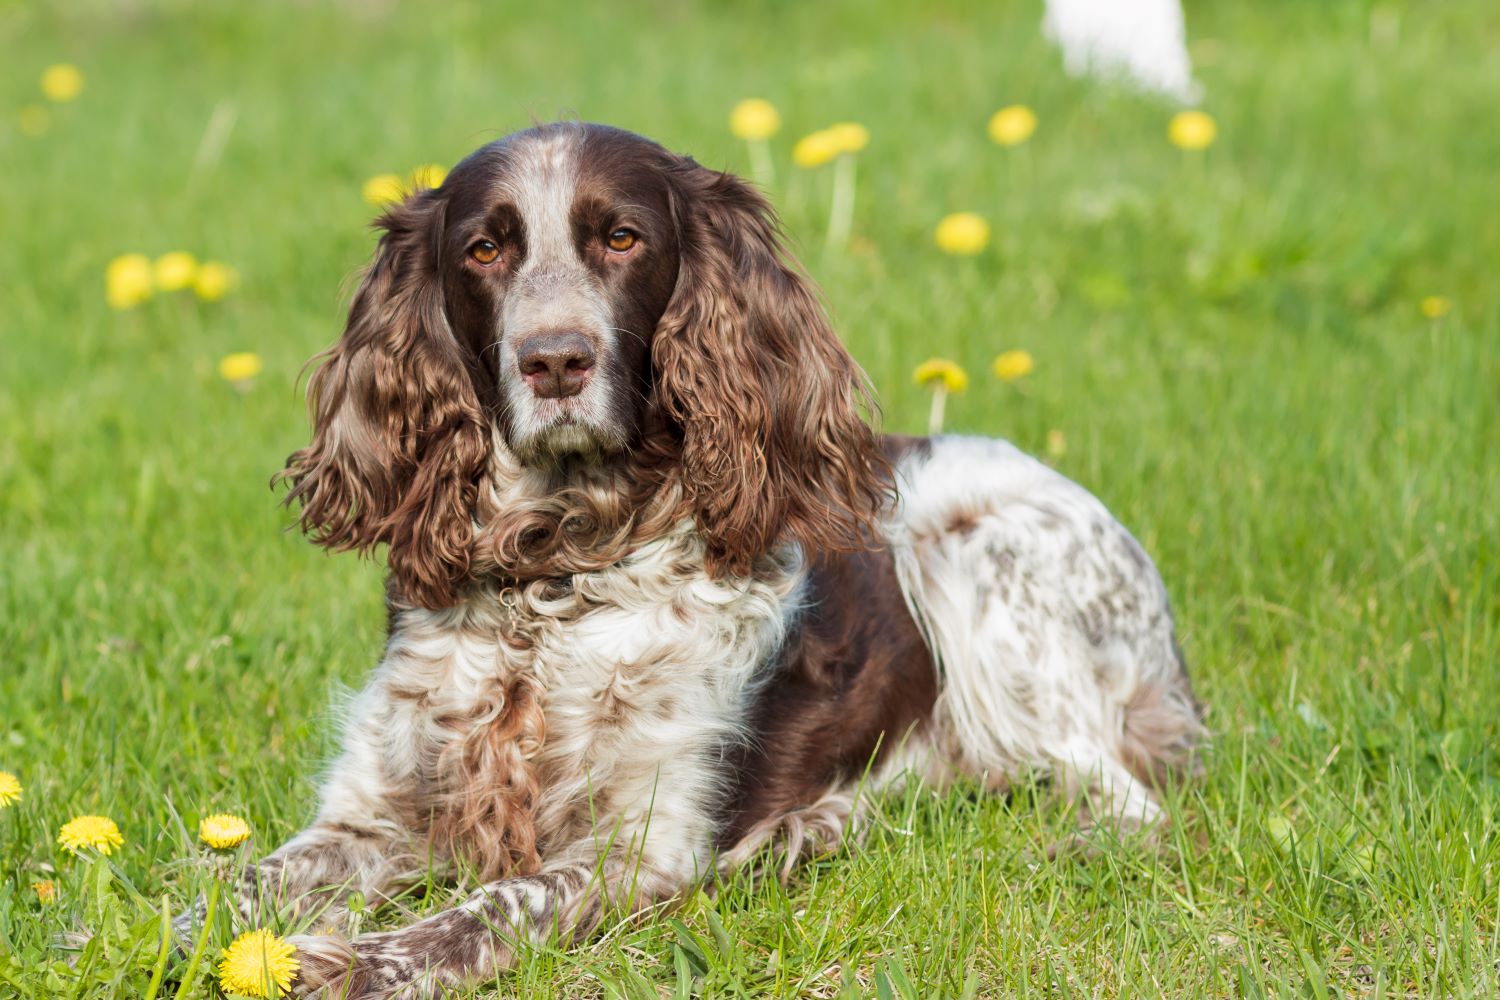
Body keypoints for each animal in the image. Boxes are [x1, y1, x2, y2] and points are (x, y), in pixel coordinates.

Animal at [211, 121, 1200, 995]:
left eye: (622, 238)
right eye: (485, 250)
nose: (555, 361)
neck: (559, 579)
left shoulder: (640, 842)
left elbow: (491, 906)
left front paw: (339, 966)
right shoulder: (372, 808)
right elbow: (233, 884)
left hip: (971, 558)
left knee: (1126, 802)